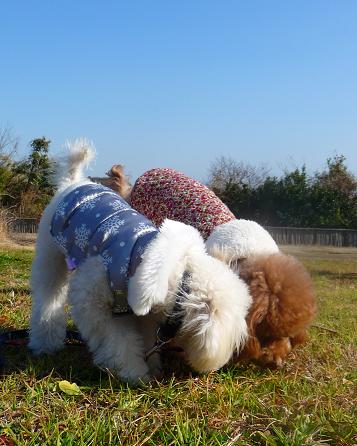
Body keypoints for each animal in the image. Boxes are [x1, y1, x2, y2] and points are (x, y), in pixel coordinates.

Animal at [28, 140, 250, 384]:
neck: (176, 276)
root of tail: (73, 182)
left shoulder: (142, 311)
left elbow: (145, 336)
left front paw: (151, 366)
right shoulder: (93, 302)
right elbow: (119, 340)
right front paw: (133, 372)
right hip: (50, 255)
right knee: (48, 298)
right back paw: (45, 342)